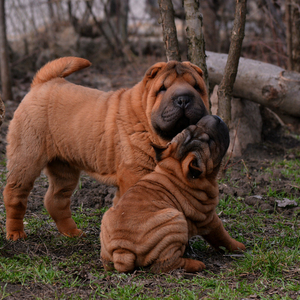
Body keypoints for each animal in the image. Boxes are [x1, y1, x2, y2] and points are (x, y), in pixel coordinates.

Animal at [3, 56, 209, 240]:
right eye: (163, 89)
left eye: (196, 87)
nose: (183, 99)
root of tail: (42, 83)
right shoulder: (135, 173)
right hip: (27, 157)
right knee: (15, 194)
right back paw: (15, 233)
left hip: (64, 167)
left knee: (55, 199)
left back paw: (72, 232)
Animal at [99, 115, 245, 274]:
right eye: (210, 141)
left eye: (194, 125)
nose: (216, 117)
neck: (176, 171)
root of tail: (122, 249)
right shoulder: (209, 218)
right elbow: (222, 235)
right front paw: (239, 247)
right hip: (175, 220)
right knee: (167, 263)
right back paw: (196, 264)